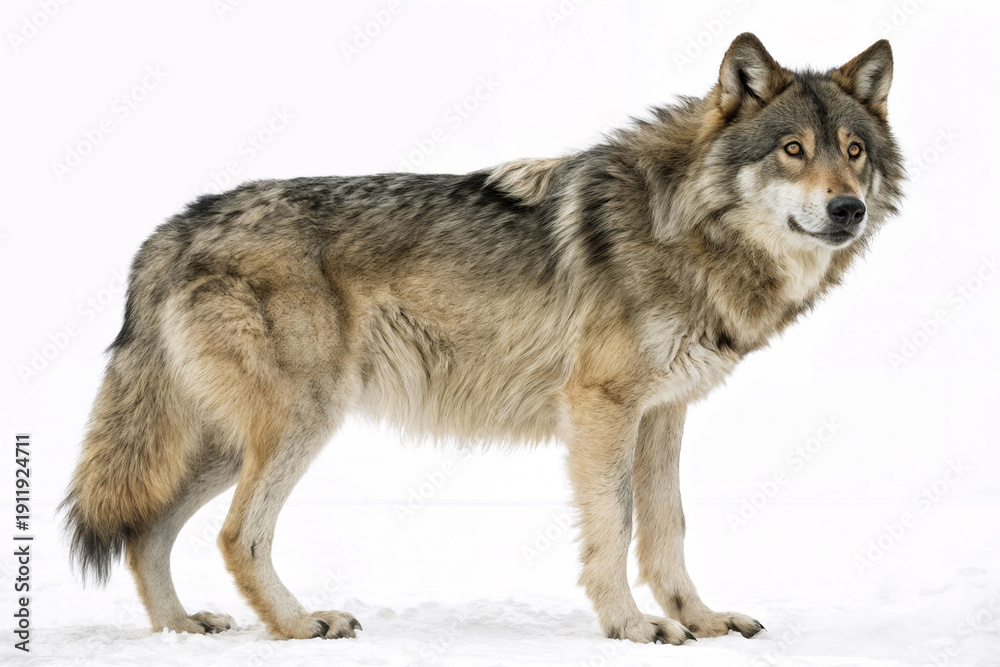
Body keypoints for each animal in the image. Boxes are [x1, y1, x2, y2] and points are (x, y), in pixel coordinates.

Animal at [62, 33, 903, 644]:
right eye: (792, 150)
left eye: (853, 150)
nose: (848, 208)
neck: (684, 226)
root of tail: (174, 227)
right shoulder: (601, 410)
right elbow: (618, 526)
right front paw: (632, 626)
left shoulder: (662, 412)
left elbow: (669, 529)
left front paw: (699, 619)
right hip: (297, 422)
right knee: (238, 533)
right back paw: (300, 624)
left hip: (227, 440)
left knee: (146, 530)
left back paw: (179, 628)